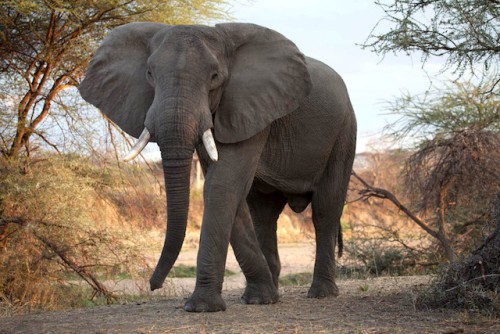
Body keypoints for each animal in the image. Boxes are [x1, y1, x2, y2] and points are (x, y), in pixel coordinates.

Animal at [79, 22, 356, 312]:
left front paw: (201, 307)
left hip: (344, 132)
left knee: (325, 208)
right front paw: (255, 298)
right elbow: (227, 190)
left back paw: (321, 293)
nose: (153, 285)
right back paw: (263, 298)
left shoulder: (247, 105)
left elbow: (222, 184)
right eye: (149, 74)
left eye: (214, 77)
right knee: (264, 215)